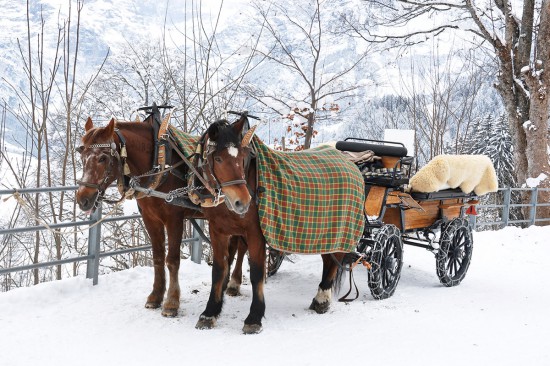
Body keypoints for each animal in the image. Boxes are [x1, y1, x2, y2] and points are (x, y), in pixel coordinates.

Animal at [74, 109, 247, 318]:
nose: (83, 199)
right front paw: (155, 296)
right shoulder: (150, 219)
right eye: (82, 156)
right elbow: (157, 257)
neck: (159, 164)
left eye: (102, 158)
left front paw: (171, 302)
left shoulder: (174, 219)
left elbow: (172, 260)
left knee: (242, 246)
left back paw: (234, 283)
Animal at [195, 116, 344, 334]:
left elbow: (257, 273)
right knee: (329, 259)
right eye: (219, 159)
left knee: (333, 259)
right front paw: (209, 313)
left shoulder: (256, 233)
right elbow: (219, 270)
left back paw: (322, 299)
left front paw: (254, 317)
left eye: (242, 157)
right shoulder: (218, 231)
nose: (242, 202)